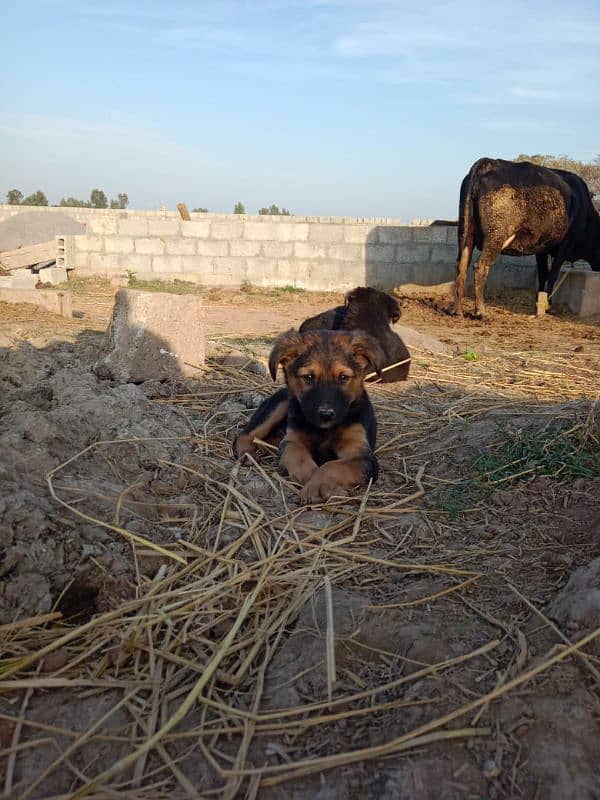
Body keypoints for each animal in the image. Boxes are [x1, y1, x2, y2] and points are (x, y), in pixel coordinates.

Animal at [234, 328, 384, 504]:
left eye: (343, 377)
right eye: (308, 377)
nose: (326, 414)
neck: (324, 430)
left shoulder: (362, 456)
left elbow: (333, 466)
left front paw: (319, 485)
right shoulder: (292, 439)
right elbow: (296, 453)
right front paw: (310, 477)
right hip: (281, 404)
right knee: (245, 434)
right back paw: (248, 454)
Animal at [454, 158, 600, 318]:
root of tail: (489, 162)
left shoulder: (542, 248)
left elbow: (543, 274)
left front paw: (540, 302)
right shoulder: (564, 245)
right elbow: (552, 275)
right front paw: (549, 306)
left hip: (465, 233)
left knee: (461, 265)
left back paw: (457, 310)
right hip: (495, 236)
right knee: (480, 266)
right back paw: (481, 311)